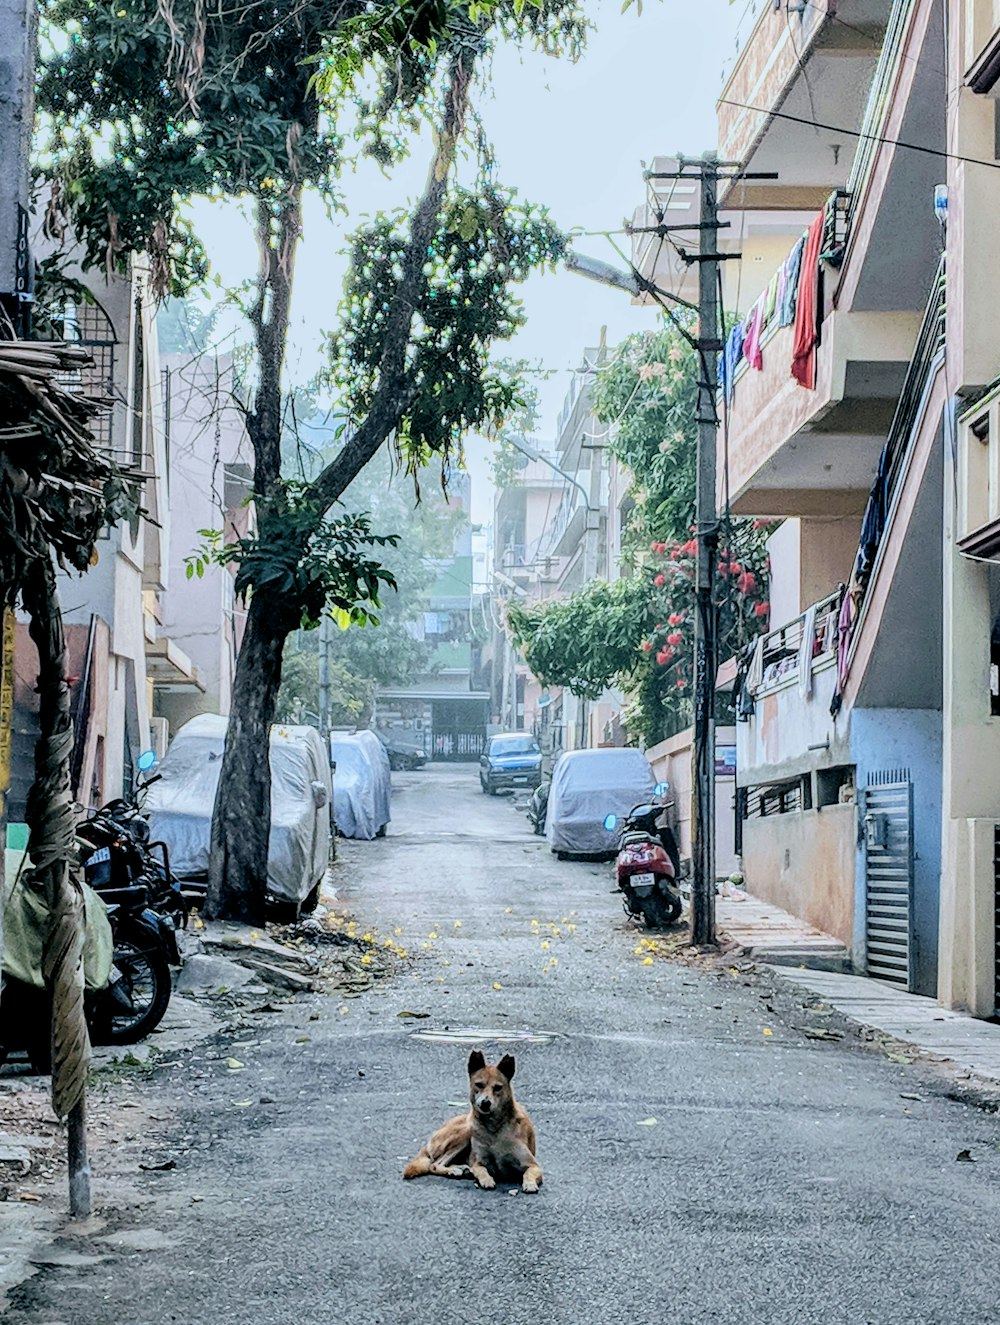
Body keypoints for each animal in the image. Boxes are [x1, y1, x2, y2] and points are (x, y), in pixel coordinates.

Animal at [400, 1049, 543, 1197]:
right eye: (479, 1085)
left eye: (497, 1087)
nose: (485, 1103)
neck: (494, 1129)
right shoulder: (478, 1162)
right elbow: (481, 1171)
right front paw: (486, 1180)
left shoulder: (533, 1165)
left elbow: (528, 1174)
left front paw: (530, 1184)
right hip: (465, 1132)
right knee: (434, 1165)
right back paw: (454, 1170)